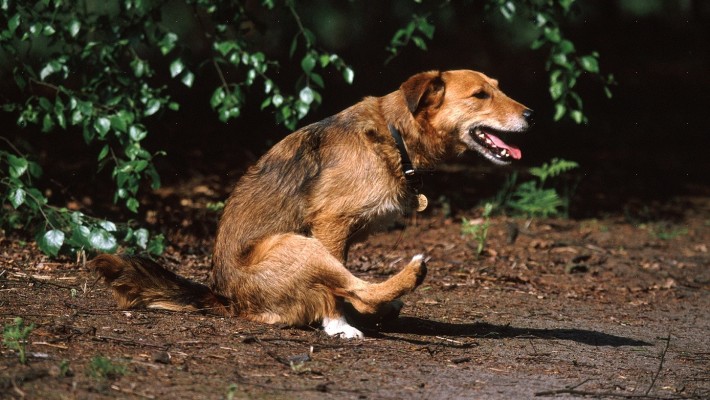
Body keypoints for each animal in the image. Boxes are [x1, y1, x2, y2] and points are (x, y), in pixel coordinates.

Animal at [89, 69, 532, 338]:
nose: (531, 114)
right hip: (297, 245)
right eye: (480, 95)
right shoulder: (331, 224)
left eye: (497, 87)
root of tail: (227, 301)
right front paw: (338, 324)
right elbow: (340, 291)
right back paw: (399, 284)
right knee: (354, 287)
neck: (394, 135)